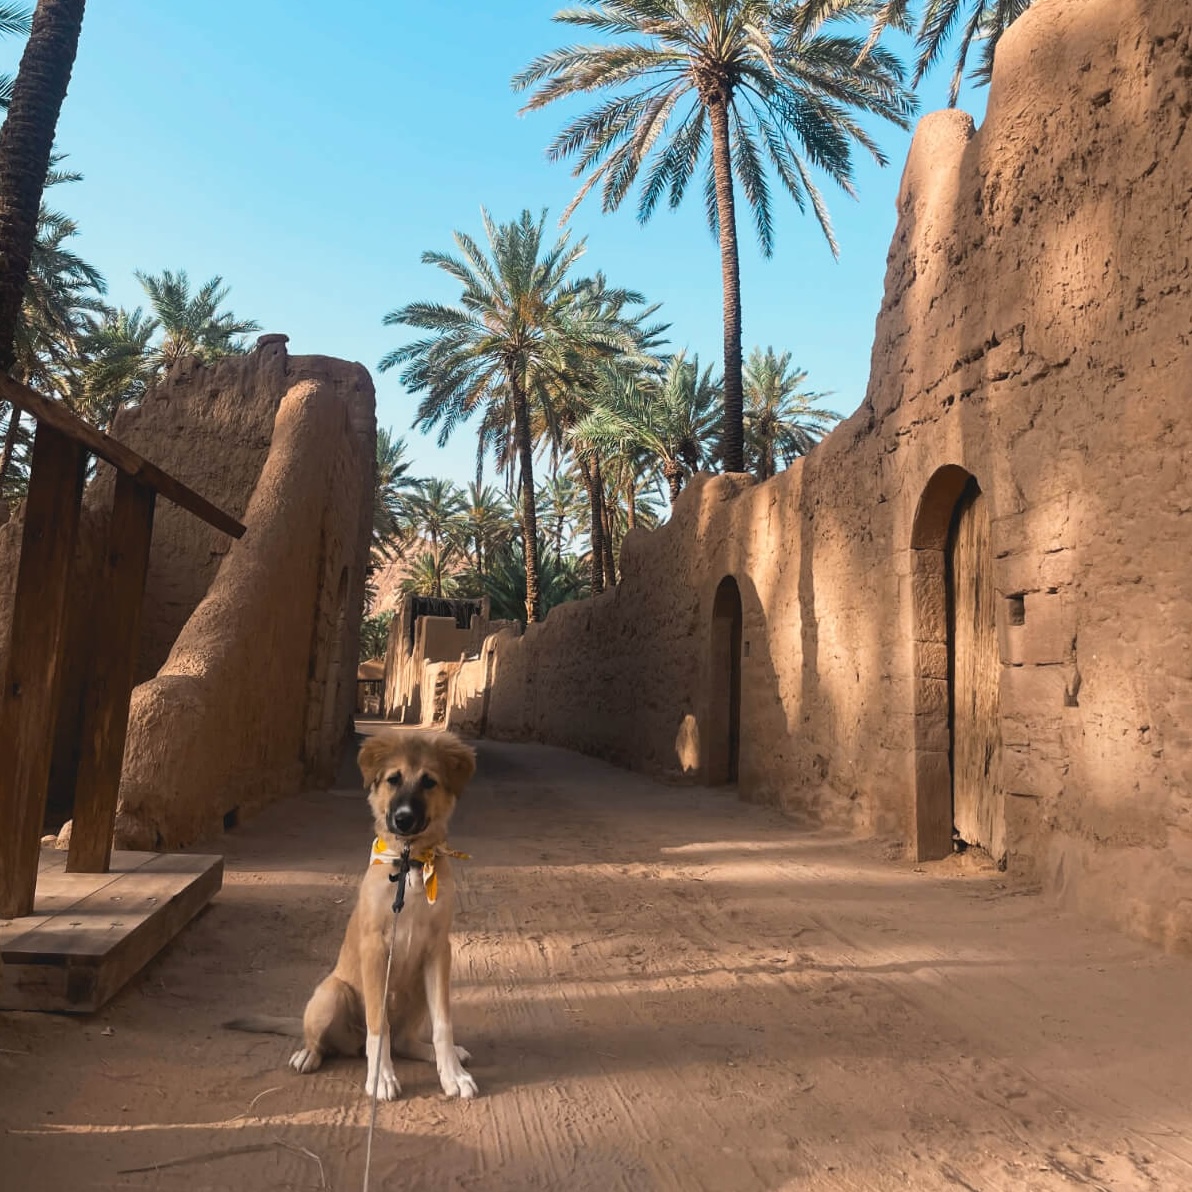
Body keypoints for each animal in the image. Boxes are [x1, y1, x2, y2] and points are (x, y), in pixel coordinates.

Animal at [225, 729, 476, 1101]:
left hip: (418, 986)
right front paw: (381, 1077)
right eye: (393, 779)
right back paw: (308, 1055)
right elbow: (378, 1024)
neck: (410, 864)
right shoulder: (374, 949)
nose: (403, 819)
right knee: (327, 1041)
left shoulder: (438, 950)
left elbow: (443, 1023)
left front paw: (453, 1074)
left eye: (429, 782)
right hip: (332, 994)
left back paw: (434, 1053)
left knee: (403, 1041)